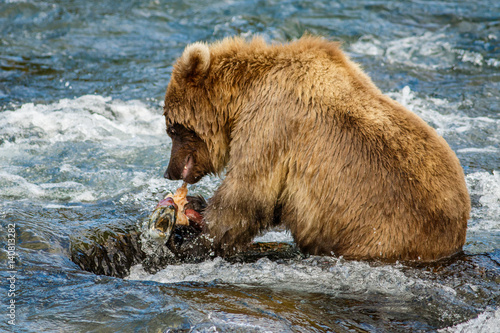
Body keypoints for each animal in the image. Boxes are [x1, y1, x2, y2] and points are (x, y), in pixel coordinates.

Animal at [162, 35, 470, 260]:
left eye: (172, 128)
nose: (169, 171)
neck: (241, 99)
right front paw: (195, 205)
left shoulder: (270, 125)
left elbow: (247, 195)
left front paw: (191, 241)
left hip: (384, 232)